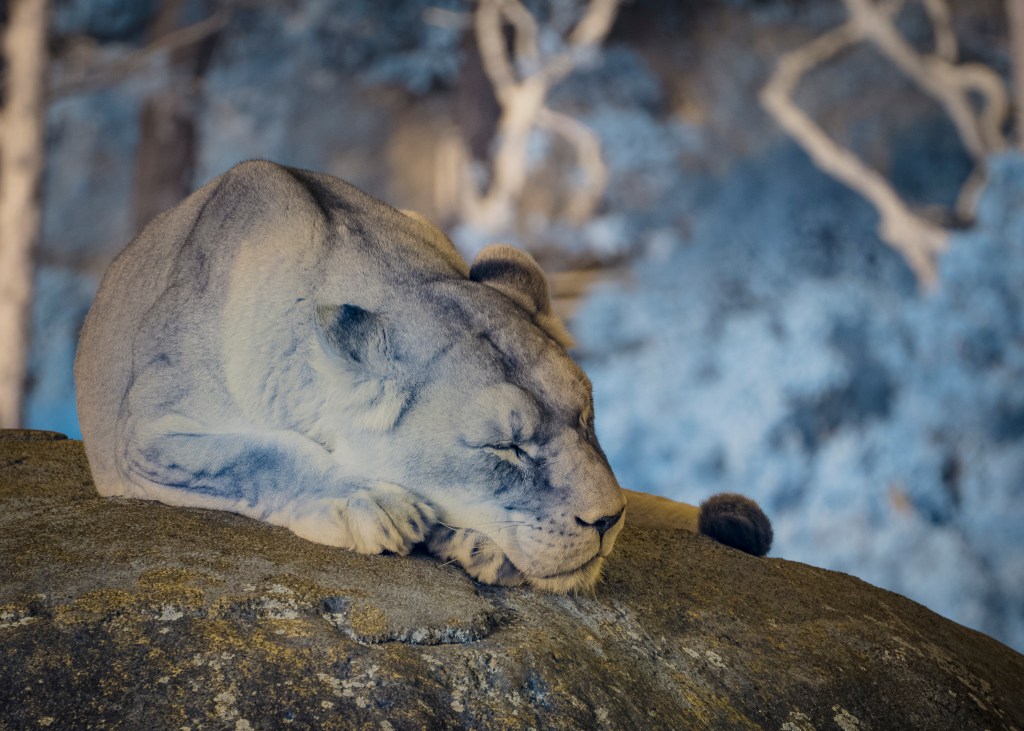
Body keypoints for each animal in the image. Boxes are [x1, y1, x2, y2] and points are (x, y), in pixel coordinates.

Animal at [75, 160, 771, 593]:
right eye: (504, 446)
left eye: (587, 417)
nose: (609, 521)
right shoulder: (145, 434)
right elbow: (259, 454)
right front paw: (371, 502)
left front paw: (474, 542)